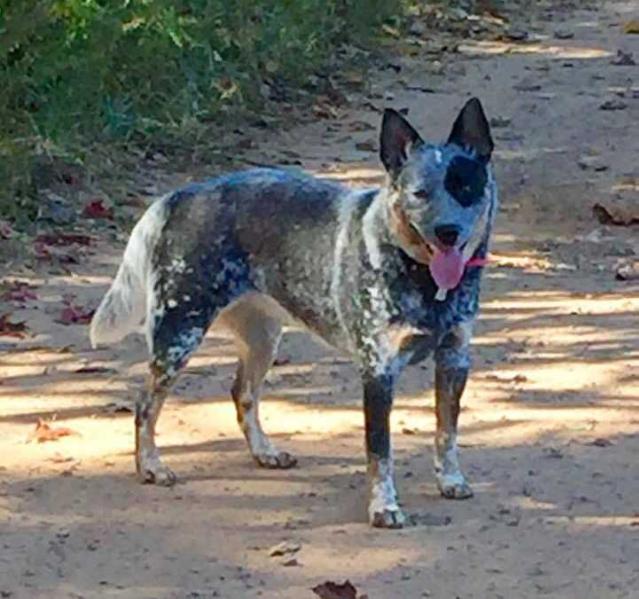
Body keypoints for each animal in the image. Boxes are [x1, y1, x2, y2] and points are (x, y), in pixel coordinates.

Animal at [91, 98, 500, 528]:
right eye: (419, 193)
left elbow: (446, 432)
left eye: (465, 188)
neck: (421, 277)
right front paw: (384, 506)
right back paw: (151, 466)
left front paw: (450, 479)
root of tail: (176, 198)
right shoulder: (378, 373)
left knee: (242, 393)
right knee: (145, 405)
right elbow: (380, 453)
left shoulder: (454, 359)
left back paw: (264, 452)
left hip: (263, 340)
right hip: (177, 337)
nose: (447, 232)